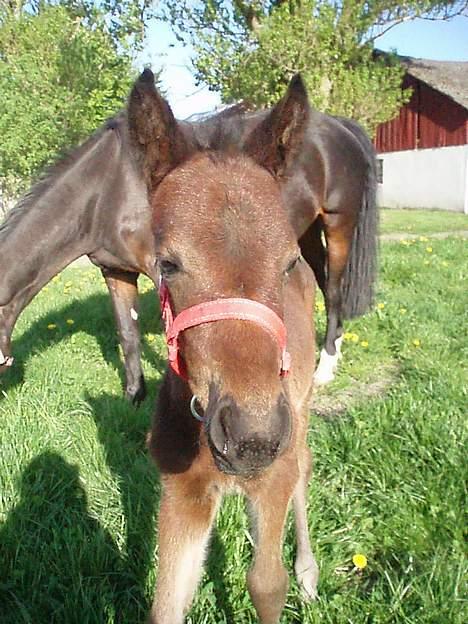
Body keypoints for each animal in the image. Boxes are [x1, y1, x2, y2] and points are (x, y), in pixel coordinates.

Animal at [0, 70, 376, 398]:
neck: (107, 187)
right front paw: (134, 399)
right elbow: (128, 336)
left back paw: (325, 368)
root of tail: (340, 126)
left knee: (335, 290)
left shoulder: (162, 272)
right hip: (306, 233)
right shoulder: (115, 271)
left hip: (338, 224)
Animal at [127, 68, 318, 624]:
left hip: (301, 409)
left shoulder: (273, 476)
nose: (252, 437)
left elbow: (267, 585)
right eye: (167, 264)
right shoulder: (181, 494)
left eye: (288, 261)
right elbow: (167, 603)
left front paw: (293, 578)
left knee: (305, 464)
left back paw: (309, 570)